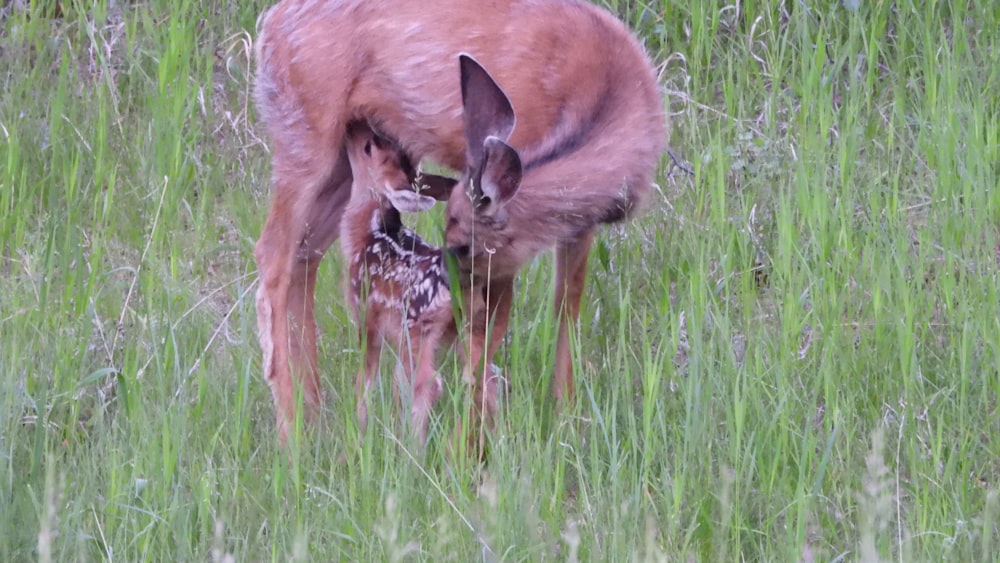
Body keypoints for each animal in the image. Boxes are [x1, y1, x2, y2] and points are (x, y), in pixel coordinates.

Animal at [340, 122, 458, 440]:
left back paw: (412, 446)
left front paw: (360, 430)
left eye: (369, 147)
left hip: (416, 330)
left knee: (426, 384)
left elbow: (365, 378)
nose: (352, 126)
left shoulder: (365, 313)